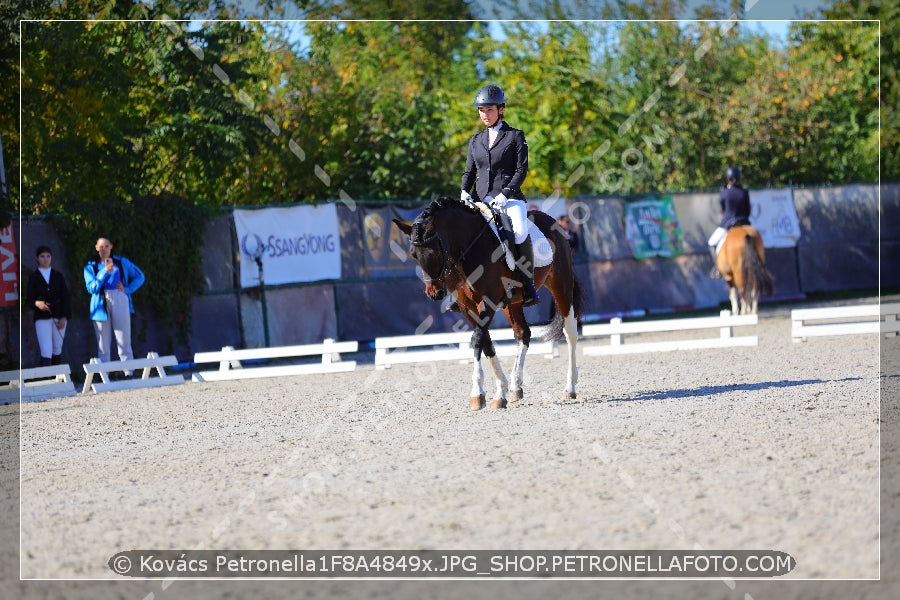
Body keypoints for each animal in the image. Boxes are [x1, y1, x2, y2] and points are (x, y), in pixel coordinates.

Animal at [394, 197, 584, 412]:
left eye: (434, 251)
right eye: (413, 254)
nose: (434, 293)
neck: (466, 247)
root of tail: (553, 222)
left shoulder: (488, 301)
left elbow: (478, 339)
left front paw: (477, 394)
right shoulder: (466, 306)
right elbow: (486, 342)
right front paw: (500, 392)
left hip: (561, 283)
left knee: (570, 332)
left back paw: (569, 388)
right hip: (513, 303)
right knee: (523, 334)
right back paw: (516, 387)